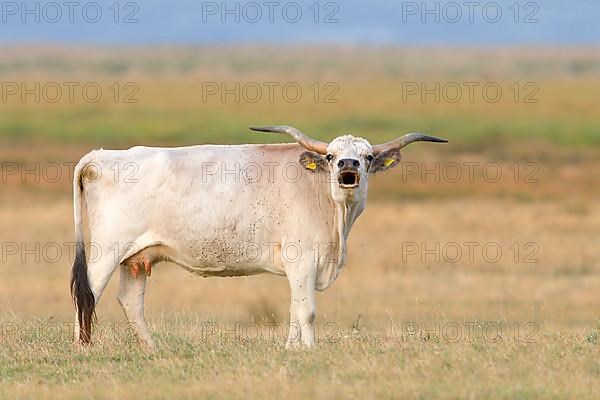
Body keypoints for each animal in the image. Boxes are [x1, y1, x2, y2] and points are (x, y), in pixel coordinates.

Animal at [70, 126, 446, 348]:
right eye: (331, 156)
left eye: (367, 157)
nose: (348, 165)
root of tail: (102, 156)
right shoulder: (302, 259)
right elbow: (307, 310)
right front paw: (310, 351)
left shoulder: (301, 268)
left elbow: (295, 309)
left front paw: (292, 350)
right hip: (106, 251)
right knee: (87, 294)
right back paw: (81, 348)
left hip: (136, 258)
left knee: (130, 301)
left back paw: (152, 348)